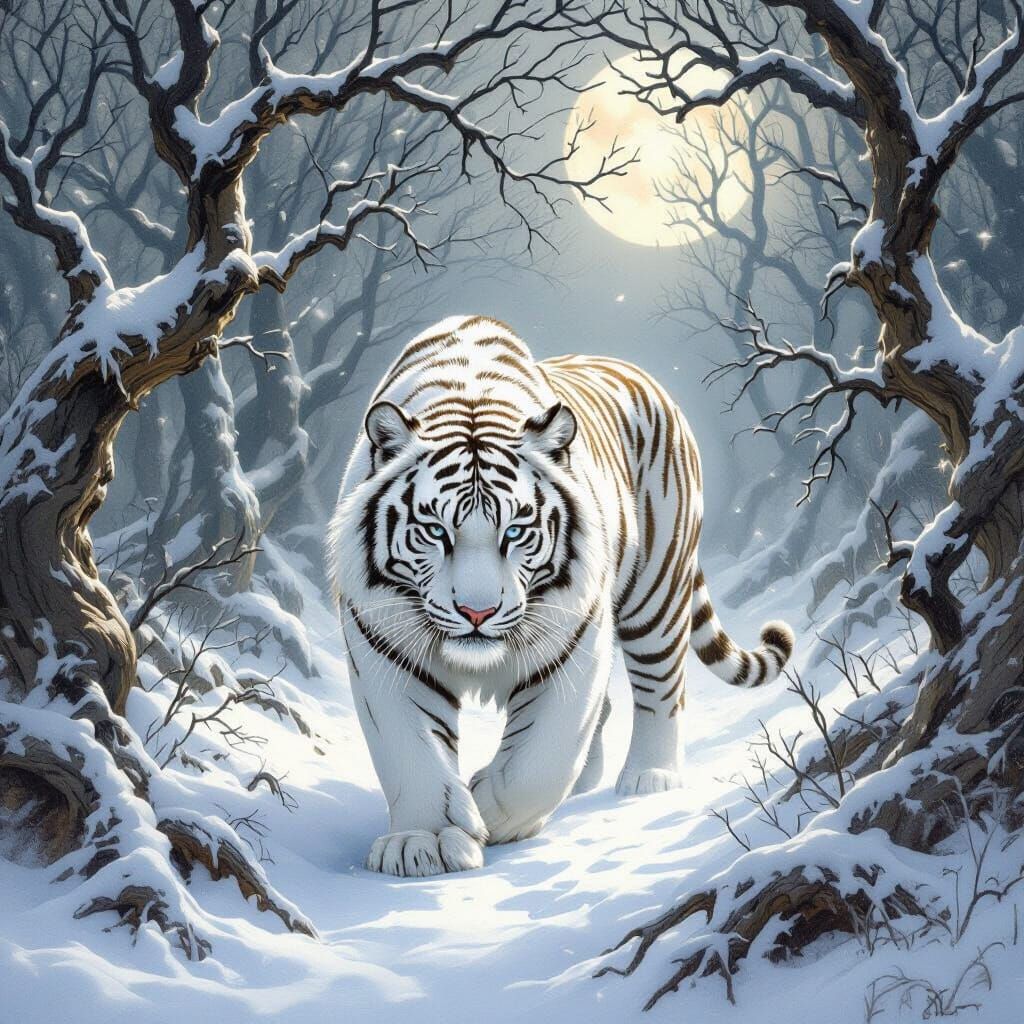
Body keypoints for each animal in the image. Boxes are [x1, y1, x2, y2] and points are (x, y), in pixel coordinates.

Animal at [329, 315, 793, 877]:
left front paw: (488, 810)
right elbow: (410, 752)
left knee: (662, 686)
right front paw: (424, 842)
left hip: (655, 591)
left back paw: (649, 778)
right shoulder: (383, 642)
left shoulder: (574, 637)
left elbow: (540, 760)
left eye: (516, 530)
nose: (477, 612)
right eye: (436, 530)